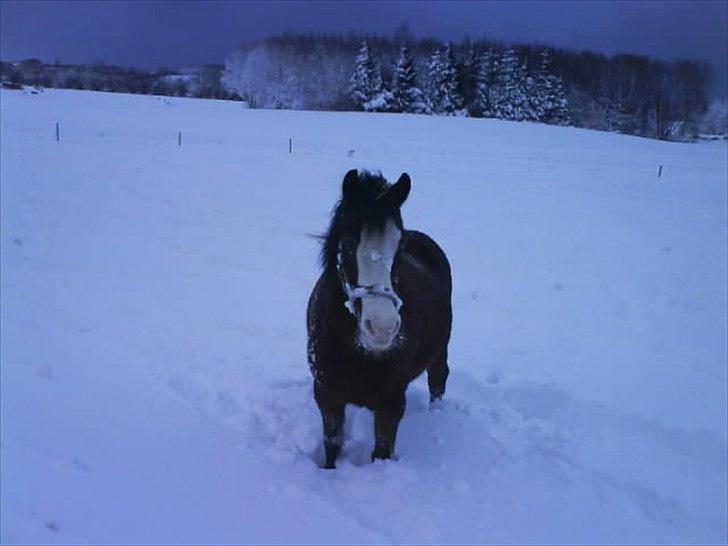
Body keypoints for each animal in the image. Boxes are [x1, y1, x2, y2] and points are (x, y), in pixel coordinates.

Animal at [307, 169, 452, 469]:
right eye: (350, 242)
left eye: (399, 244)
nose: (382, 328)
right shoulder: (327, 396)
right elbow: (332, 445)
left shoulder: (391, 405)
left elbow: (381, 452)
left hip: (440, 350)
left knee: (438, 380)